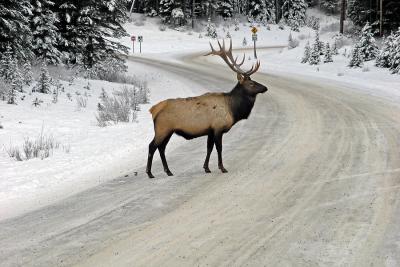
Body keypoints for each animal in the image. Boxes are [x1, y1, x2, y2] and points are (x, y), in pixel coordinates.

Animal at [145, 39, 268, 178]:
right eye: (251, 83)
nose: (265, 88)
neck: (233, 109)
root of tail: (153, 110)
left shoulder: (210, 130)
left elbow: (209, 148)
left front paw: (206, 168)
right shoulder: (218, 127)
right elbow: (219, 148)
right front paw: (222, 168)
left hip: (168, 131)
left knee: (161, 148)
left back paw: (168, 171)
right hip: (162, 129)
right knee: (152, 146)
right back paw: (150, 173)